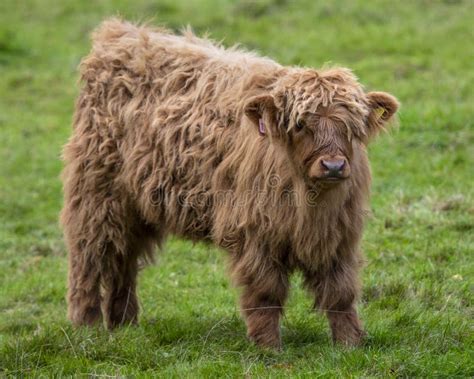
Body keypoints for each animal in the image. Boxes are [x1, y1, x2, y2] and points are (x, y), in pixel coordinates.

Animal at [61, 19, 398, 348]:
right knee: (90, 257)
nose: (333, 166)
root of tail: (121, 33)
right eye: (301, 124)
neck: (310, 203)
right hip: (96, 197)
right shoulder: (256, 234)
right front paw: (268, 347)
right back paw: (87, 326)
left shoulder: (340, 235)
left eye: (352, 126)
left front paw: (349, 344)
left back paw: (124, 325)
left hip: (133, 207)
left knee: (123, 259)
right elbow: (266, 292)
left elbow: (340, 293)